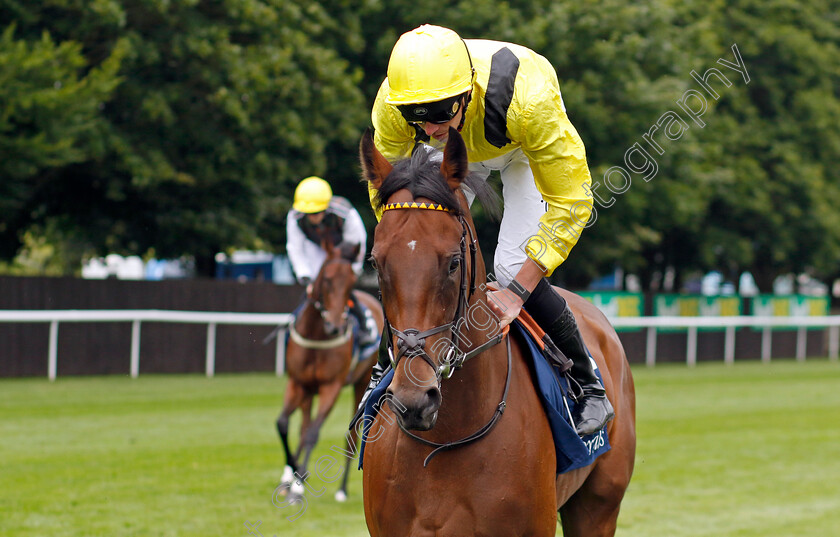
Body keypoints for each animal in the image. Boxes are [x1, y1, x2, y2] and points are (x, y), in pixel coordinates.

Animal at [276, 239, 384, 502]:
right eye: (326, 279)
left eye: (352, 282)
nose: (335, 326)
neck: (317, 334)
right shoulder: (298, 383)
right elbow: (284, 423)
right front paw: (292, 475)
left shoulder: (331, 387)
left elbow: (313, 433)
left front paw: (298, 485)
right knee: (302, 426)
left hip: (362, 383)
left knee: (352, 437)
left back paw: (342, 489)